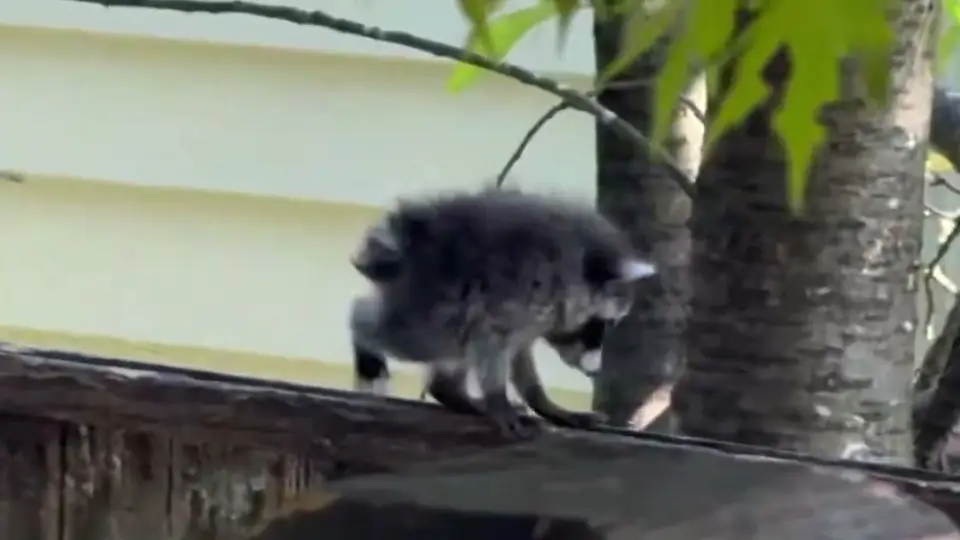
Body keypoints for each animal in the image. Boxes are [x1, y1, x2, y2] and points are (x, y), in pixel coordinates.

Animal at [348, 188, 656, 436]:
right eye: (601, 325)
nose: (595, 369)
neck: (573, 269)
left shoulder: (531, 318)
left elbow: (520, 354)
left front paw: (543, 402)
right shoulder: (514, 296)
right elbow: (492, 342)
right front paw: (498, 399)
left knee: (457, 344)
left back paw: (451, 391)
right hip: (430, 303)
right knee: (412, 335)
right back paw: (363, 334)